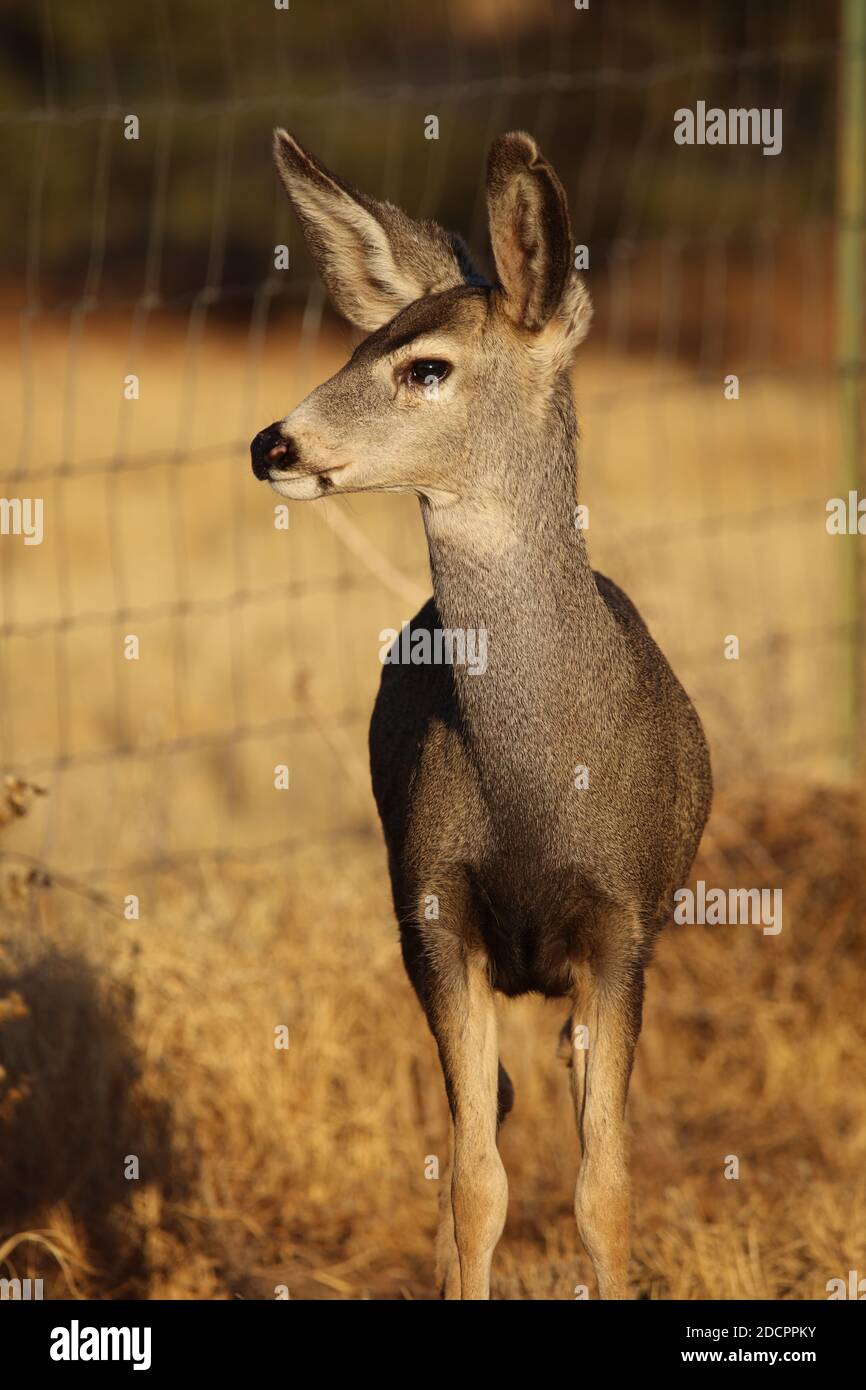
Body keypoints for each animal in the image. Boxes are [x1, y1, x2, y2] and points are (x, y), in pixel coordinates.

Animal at [251, 129, 712, 1300]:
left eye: (424, 368)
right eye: (358, 343)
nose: (271, 445)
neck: (540, 780)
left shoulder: (624, 922)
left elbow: (604, 1189)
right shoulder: (432, 905)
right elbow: (475, 1185)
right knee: (489, 1114)